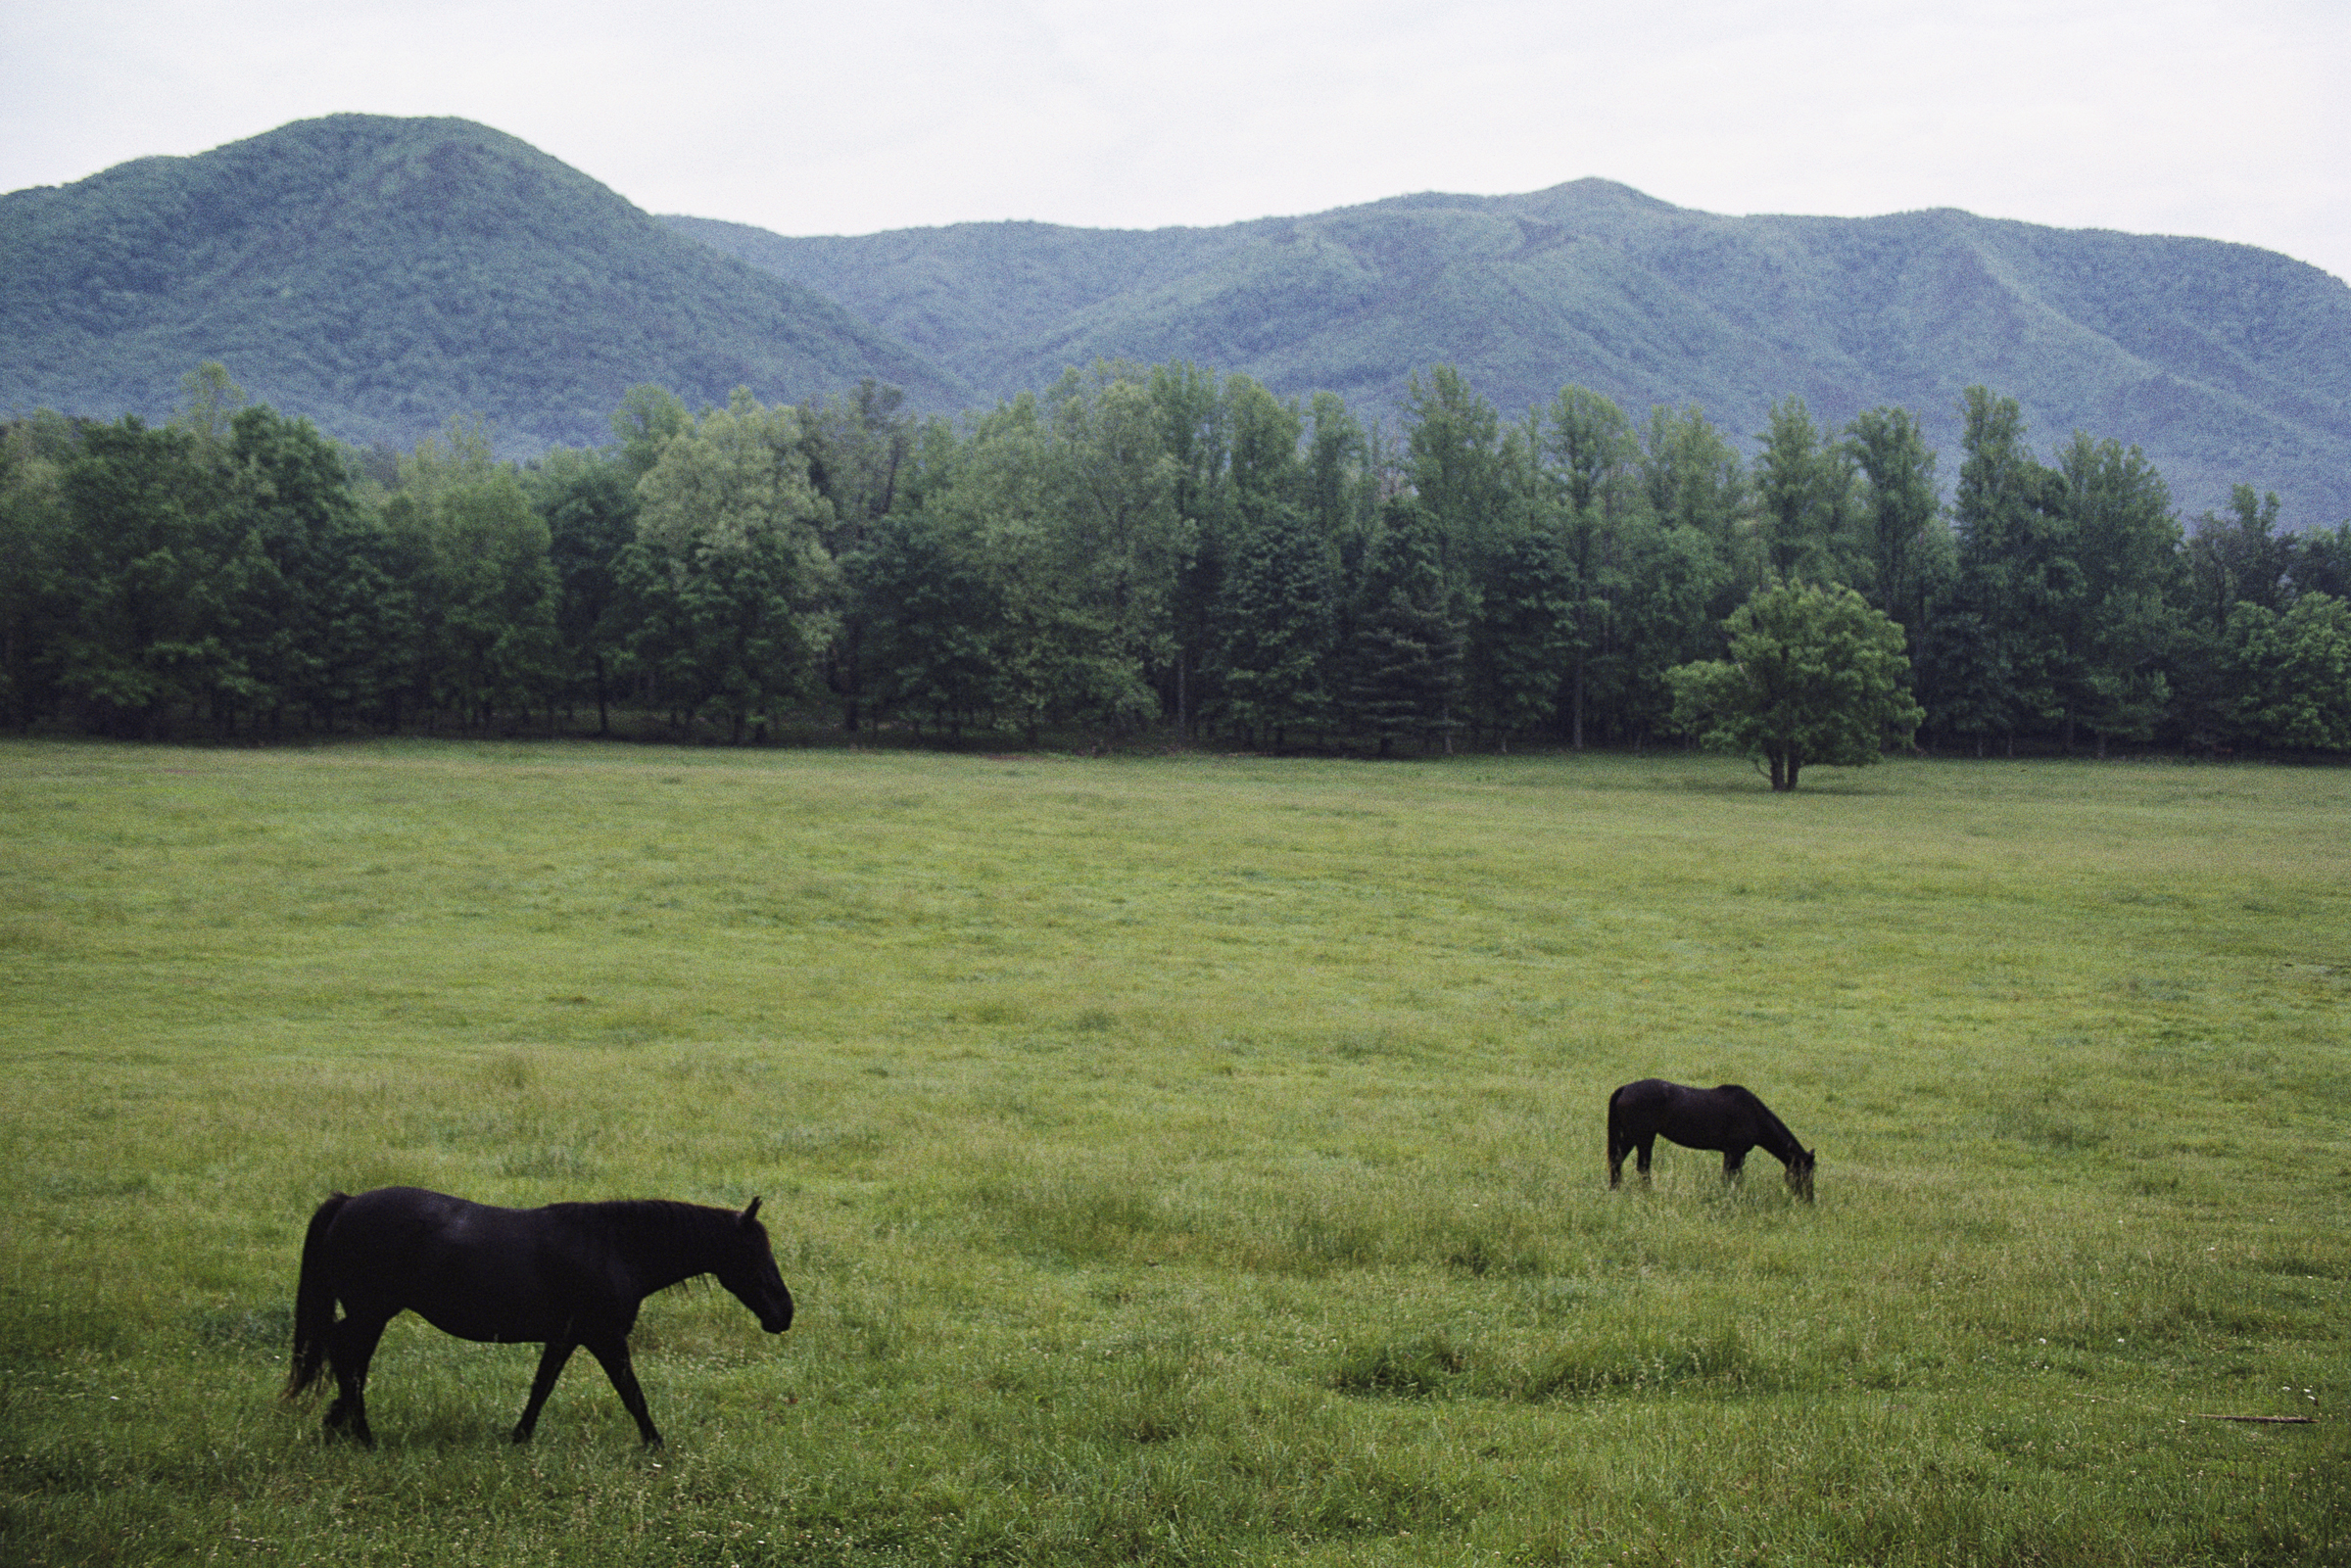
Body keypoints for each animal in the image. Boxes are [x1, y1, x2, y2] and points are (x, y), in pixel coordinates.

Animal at [282, 1189, 799, 1448]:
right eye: (754, 1254)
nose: (784, 1313)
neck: (615, 1248)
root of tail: (347, 1202)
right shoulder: (604, 1336)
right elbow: (632, 1393)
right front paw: (656, 1444)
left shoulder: (567, 1336)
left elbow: (542, 1386)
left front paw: (519, 1437)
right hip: (371, 1312)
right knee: (346, 1357)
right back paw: (361, 1435)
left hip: (369, 1314)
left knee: (348, 1359)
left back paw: (339, 1426)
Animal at [1599, 1081, 1814, 1203]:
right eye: (1804, 1174)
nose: (1809, 1200)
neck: (1753, 1114)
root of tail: (1625, 1089)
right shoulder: (1735, 1152)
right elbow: (1732, 1178)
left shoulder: (1733, 1154)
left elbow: (1729, 1177)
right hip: (1643, 1137)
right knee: (1641, 1167)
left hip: (1631, 1136)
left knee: (1617, 1162)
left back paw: (1615, 1190)